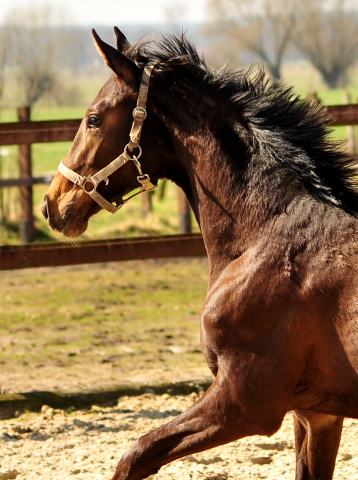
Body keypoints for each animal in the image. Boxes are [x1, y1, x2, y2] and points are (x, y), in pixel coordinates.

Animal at [41, 28, 358, 478]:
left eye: (93, 119)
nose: (52, 205)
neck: (264, 236)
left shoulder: (244, 403)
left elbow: (135, 455)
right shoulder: (317, 415)